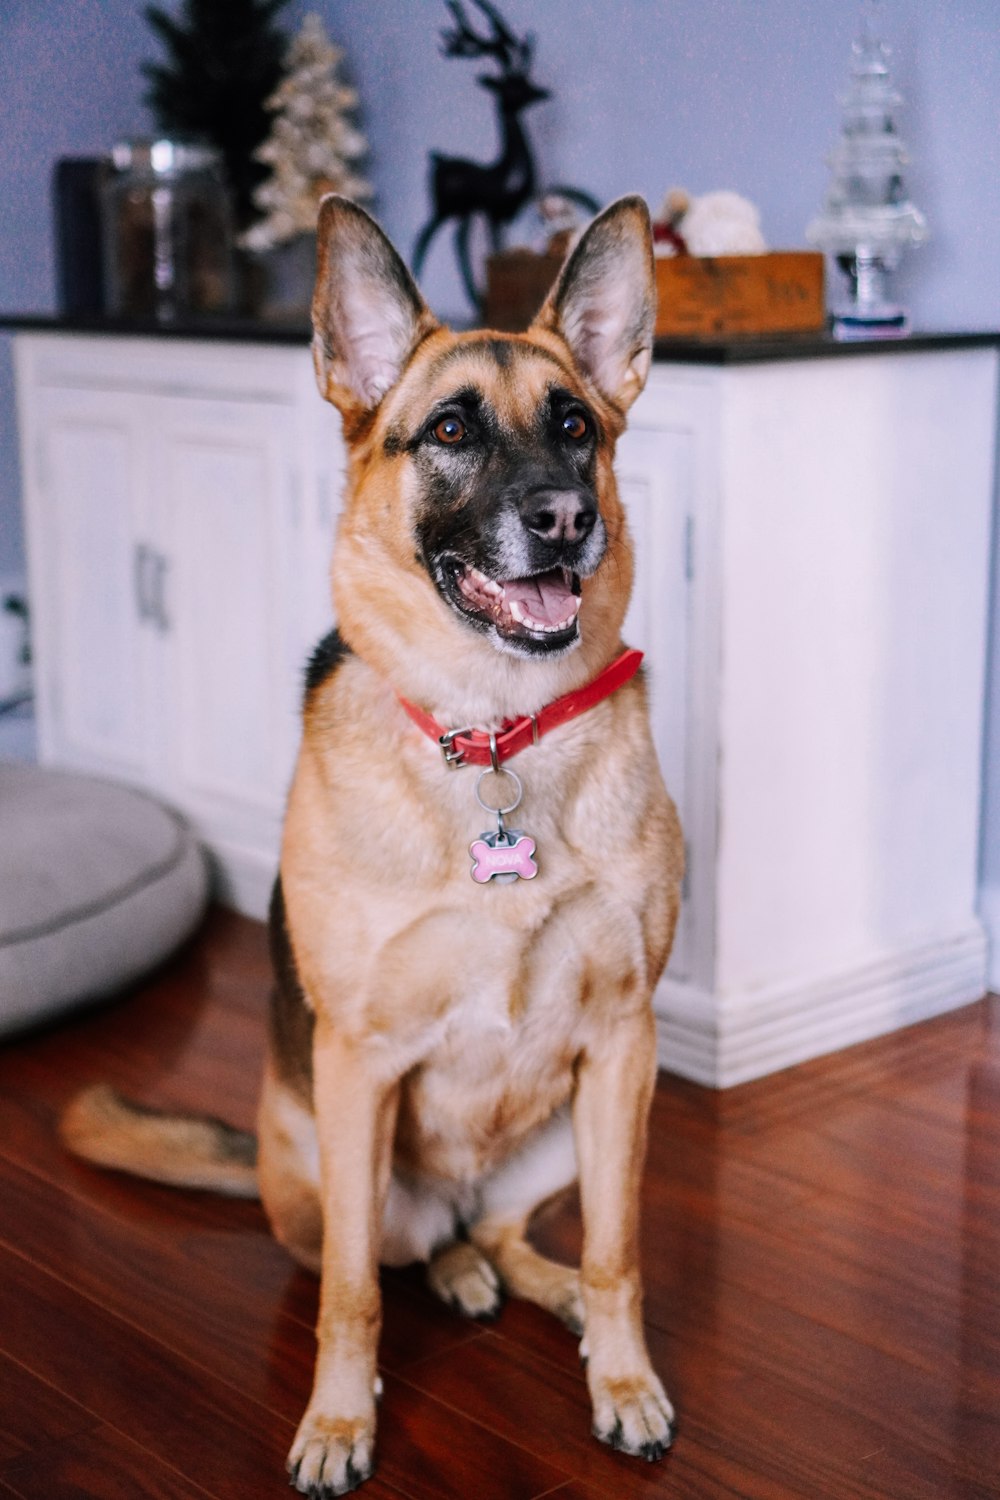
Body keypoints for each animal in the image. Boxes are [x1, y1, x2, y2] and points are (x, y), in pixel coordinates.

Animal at [64, 196, 689, 1488]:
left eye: (575, 426)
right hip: (325, 1171)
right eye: (448, 430)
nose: (566, 519)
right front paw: (340, 1424)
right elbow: (348, 1297)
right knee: (400, 1252)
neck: (494, 731)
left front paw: (621, 1382)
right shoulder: (359, 1065)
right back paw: (448, 1273)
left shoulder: (624, 1041)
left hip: (578, 1133)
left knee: (506, 1232)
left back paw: (539, 1287)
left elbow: (621, 1253)